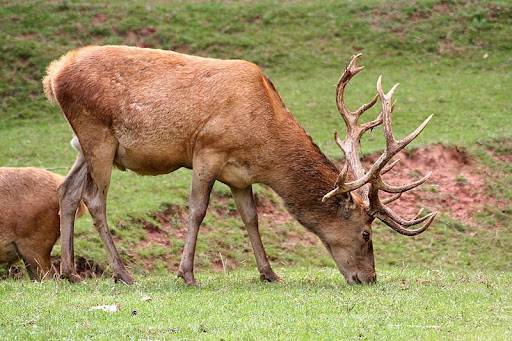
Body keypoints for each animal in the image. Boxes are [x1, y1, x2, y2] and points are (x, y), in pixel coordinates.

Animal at [43, 45, 436, 284]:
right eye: (367, 233)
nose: (368, 278)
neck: (263, 143)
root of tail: (53, 75)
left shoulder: (239, 175)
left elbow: (251, 217)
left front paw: (269, 273)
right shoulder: (207, 149)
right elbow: (197, 210)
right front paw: (187, 274)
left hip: (84, 145)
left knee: (67, 191)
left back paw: (69, 272)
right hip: (98, 135)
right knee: (94, 199)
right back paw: (122, 273)